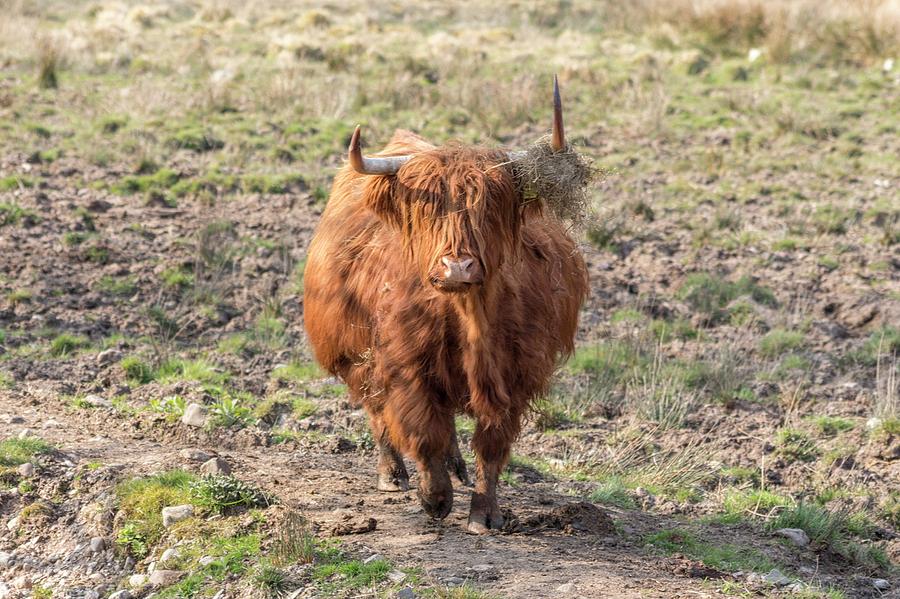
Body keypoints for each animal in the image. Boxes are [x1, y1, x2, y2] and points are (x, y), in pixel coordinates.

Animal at [302, 78, 588, 536]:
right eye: (427, 207)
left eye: (489, 204)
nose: (457, 266)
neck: (469, 317)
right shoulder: (406, 366)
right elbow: (424, 430)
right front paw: (434, 497)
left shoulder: (516, 374)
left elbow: (491, 444)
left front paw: (484, 512)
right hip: (355, 354)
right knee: (377, 409)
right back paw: (393, 476)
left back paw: (455, 468)